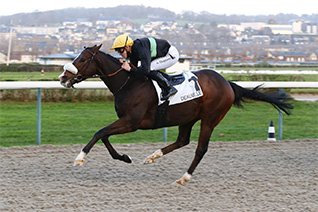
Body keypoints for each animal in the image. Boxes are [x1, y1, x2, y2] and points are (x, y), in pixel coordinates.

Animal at [59, 45, 294, 186]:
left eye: (82, 59)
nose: (63, 77)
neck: (130, 82)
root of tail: (227, 83)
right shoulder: (126, 121)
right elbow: (105, 135)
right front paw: (124, 157)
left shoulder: (132, 122)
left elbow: (100, 133)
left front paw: (80, 158)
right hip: (187, 118)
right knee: (183, 140)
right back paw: (153, 156)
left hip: (210, 119)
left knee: (200, 148)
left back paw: (184, 177)